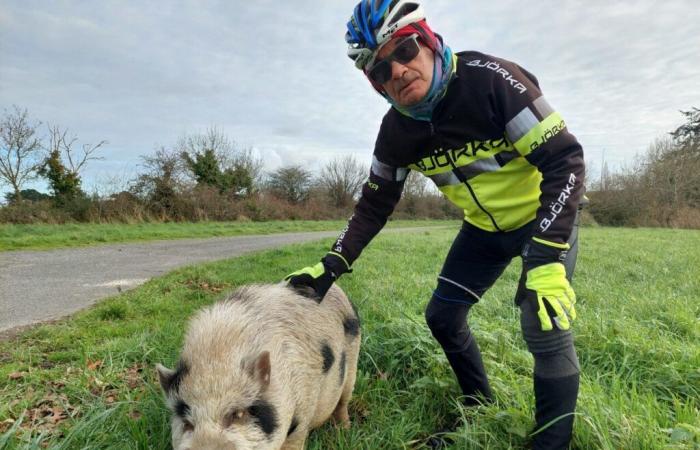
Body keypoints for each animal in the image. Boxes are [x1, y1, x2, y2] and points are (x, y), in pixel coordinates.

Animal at [155, 284, 358, 448]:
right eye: (187, 423)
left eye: (238, 414)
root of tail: (337, 289)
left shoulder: (301, 419)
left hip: (352, 365)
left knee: (343, 401)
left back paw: (345, 429)